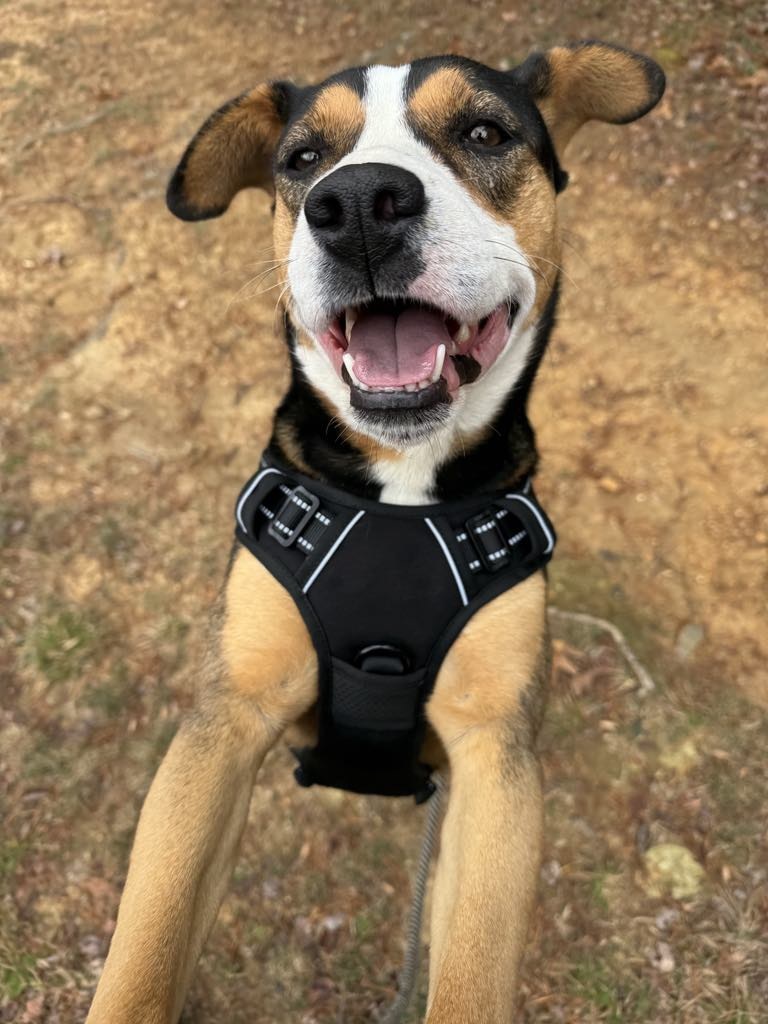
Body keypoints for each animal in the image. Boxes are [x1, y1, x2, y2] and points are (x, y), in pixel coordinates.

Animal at [88, 44, 667, 1024]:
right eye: (300, 159)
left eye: (485, 132)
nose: (358, 203)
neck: (402, 486)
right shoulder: (221, 726)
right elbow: (145, 946)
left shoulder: (496, 763)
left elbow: (471, 974)